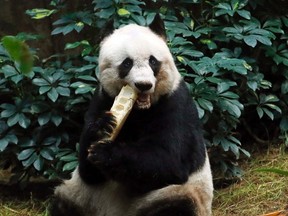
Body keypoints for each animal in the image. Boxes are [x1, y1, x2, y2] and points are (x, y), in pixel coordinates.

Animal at [48, 14, 213, 215]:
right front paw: (102, 127)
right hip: (81, 197)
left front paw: (106, 152)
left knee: (179, 203)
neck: (138, 110)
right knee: (62, 202)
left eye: (153, 61)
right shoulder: (102, 98)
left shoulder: (176, 104)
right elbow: (88, 171)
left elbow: (170, 160)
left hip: (173, 195)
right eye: (127, 63)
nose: (144, 85)